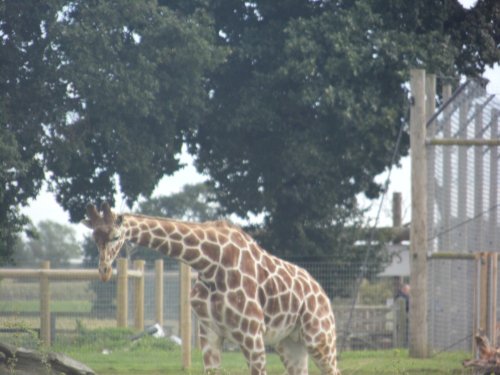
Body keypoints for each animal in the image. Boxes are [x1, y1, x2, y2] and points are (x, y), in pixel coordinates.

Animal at [84, 203, 342, 375]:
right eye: (94, 237)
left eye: (116, 235)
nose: (104, 271)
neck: (209, 263)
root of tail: (323, 294)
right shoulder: (209, 333)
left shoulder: (252, 334)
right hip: (290, 343)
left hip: (320, 338)